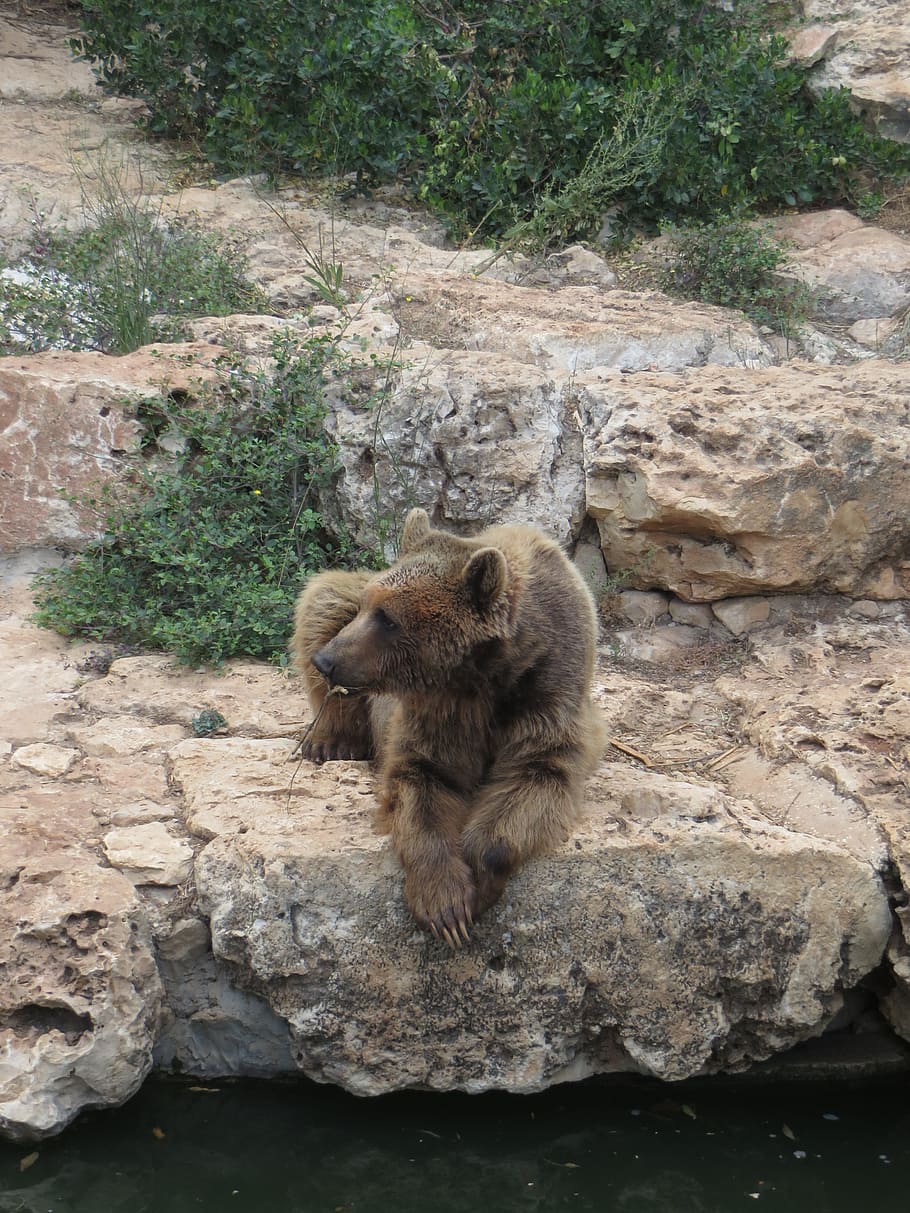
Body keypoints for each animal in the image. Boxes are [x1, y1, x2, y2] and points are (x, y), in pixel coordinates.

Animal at [291, 508, 605, 948]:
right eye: (371, 607)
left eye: (388, 619)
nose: (328, 660)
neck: (484, 675)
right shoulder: (439, 710)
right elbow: (423, 778)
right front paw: (445, 905)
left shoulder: (547, 693)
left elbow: (536, 775)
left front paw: (479, 881)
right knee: (324, 595)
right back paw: (330, 741)